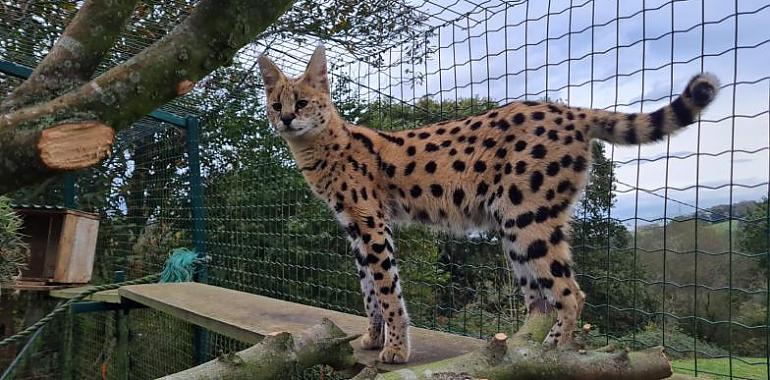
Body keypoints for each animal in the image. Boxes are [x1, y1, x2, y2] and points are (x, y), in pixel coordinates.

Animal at [256, 43, 712, 362]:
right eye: (276, 104)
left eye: (302, 102)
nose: (286, 119)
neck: (321, 148)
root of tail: (568, 110)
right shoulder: (355, 228)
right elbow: (369, 292)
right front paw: (371, 338)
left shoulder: (371, 224)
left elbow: (387, 291)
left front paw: (396, 349)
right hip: (517, 226)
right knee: (539, 299)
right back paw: (517, 350)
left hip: (528, 217)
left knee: (571, 293)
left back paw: (550, 352)